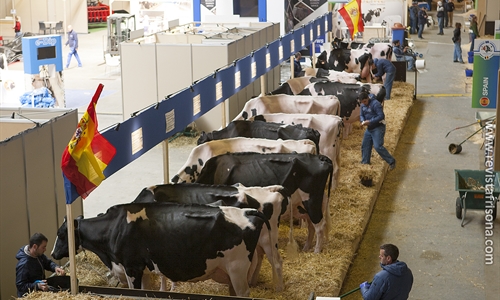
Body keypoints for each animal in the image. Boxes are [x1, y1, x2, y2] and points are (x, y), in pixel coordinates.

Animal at [52, 203, 272, 296]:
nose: (53, 254)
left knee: (243, 293)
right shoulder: (143, 269)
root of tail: (247, 211)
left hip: (237, 269)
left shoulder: (132, 267)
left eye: (62, 234)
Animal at [133, 183, 288, 290]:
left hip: (268, 238)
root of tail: (267, 190)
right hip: (259, 240)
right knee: (260, 257)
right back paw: (253, 282)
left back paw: (278, 288)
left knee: (276, 261)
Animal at [194, 152, 332, 253]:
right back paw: (306, 247)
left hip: (312, 201)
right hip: (306, 204)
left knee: (320, 225)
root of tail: (320, 157)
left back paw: (316, 250)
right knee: (311, 225)